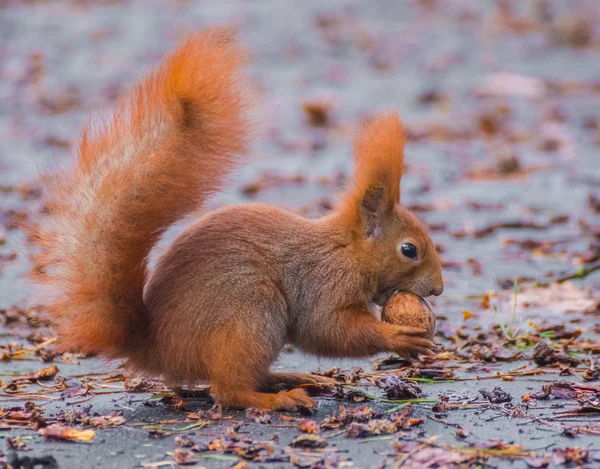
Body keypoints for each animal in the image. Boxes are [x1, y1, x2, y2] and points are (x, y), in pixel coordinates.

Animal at [28, 29, 442, 410]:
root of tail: (159, 348)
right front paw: (399, 338)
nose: (437, 289)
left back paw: (292, 378)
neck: (349, 250)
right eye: (409, 249)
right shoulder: (325, 281)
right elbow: (326, 329)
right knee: (229, 390)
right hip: (250, 312)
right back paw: (279, 399)